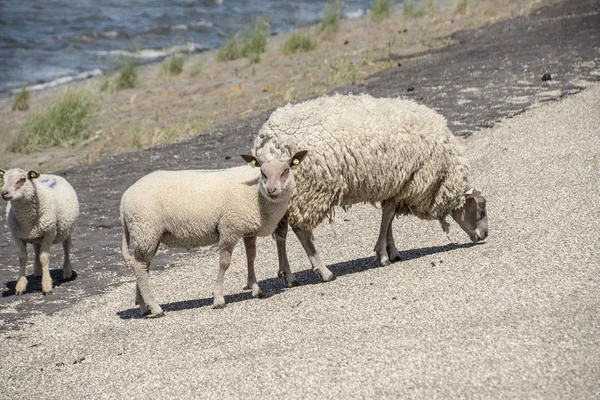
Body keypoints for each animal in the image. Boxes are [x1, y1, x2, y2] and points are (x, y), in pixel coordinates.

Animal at [0, 167, 79, 296]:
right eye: (3, 179)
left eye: (22, 179)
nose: (4, 193)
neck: (26, 219)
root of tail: (49, 175)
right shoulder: (17, 236)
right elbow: (23, 258)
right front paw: (20, 286)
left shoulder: (49, 232)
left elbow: (44, 258)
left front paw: (46, 286)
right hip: (36, 236)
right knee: (37, 249)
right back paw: (38, 272)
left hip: (67, 230)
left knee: (66, 248)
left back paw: (67, 272)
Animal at [122, 150, 310, 318]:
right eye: (263, 173)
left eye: (285, 171)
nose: (272, 190)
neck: (258, 197)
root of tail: (124, 200)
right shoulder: (229, 227)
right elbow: (225, 263)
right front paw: (218, 298)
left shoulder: (247, 229)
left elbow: (251, 257)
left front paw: (256, 289)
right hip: (146, 229)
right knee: (140, 266)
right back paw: (155, 308)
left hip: (148, 235)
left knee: (142, 266)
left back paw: (144, 306)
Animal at [251, 92, 490, 286]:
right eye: (481, 208)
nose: (485, 234)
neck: (445, 173)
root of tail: (266, 141)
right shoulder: (404, 181)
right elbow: (387, 217)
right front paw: (382, 255)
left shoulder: (395, 184)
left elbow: (389, 217)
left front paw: (392, 251)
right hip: (310, 190)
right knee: (302, 231)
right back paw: (324, 271)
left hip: (282, 194)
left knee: (280, 232)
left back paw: (288, 276)